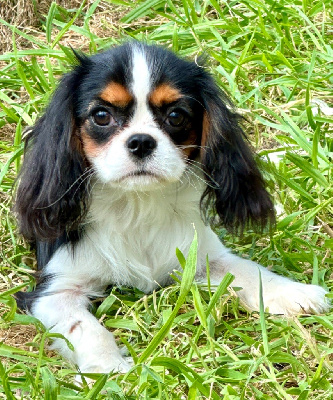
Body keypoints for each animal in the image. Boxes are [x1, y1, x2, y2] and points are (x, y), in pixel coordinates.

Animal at [14, 43, 328, 376]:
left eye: (176, 116)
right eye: (101, 115)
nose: (141, 141)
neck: (137, 203)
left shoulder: (203, 257)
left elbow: (250, 271)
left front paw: (296, 293)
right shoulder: (55, 292)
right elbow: (86, 329)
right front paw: (109, 368)